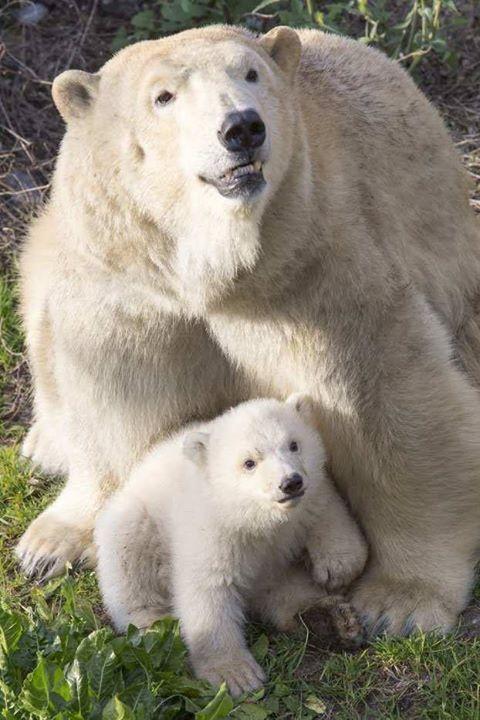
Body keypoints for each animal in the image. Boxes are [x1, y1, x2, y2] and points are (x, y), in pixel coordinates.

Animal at [16, 25, 480, 632]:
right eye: (163, 96)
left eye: (252, 73)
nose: (242, 128)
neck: (216, 273)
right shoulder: (130, 289)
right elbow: (114, 395)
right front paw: (48, 546)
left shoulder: (311, 273)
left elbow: (388, 404)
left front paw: (397, 602)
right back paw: (45, 443)